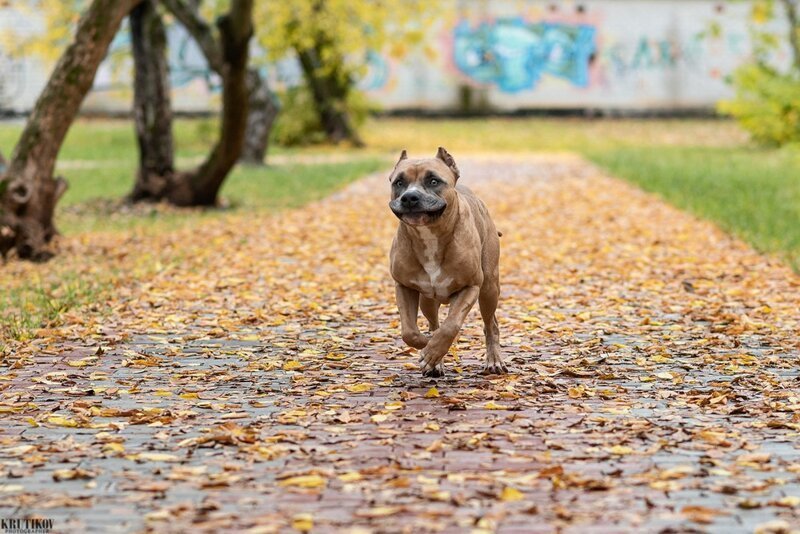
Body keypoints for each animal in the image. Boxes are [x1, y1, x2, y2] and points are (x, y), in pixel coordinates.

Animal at [390, 149, 506, 378]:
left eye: (434, 181)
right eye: (399, 182)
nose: (410, 197)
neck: (430, 236)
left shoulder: (470, 286)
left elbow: (450, 325)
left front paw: (432, 351)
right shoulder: (404, 286)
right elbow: (409, 331)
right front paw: (426, 347)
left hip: (489, 289)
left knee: (491, 325)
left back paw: (494, 360)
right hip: (427, 300)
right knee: (433, 322)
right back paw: (435, 361)